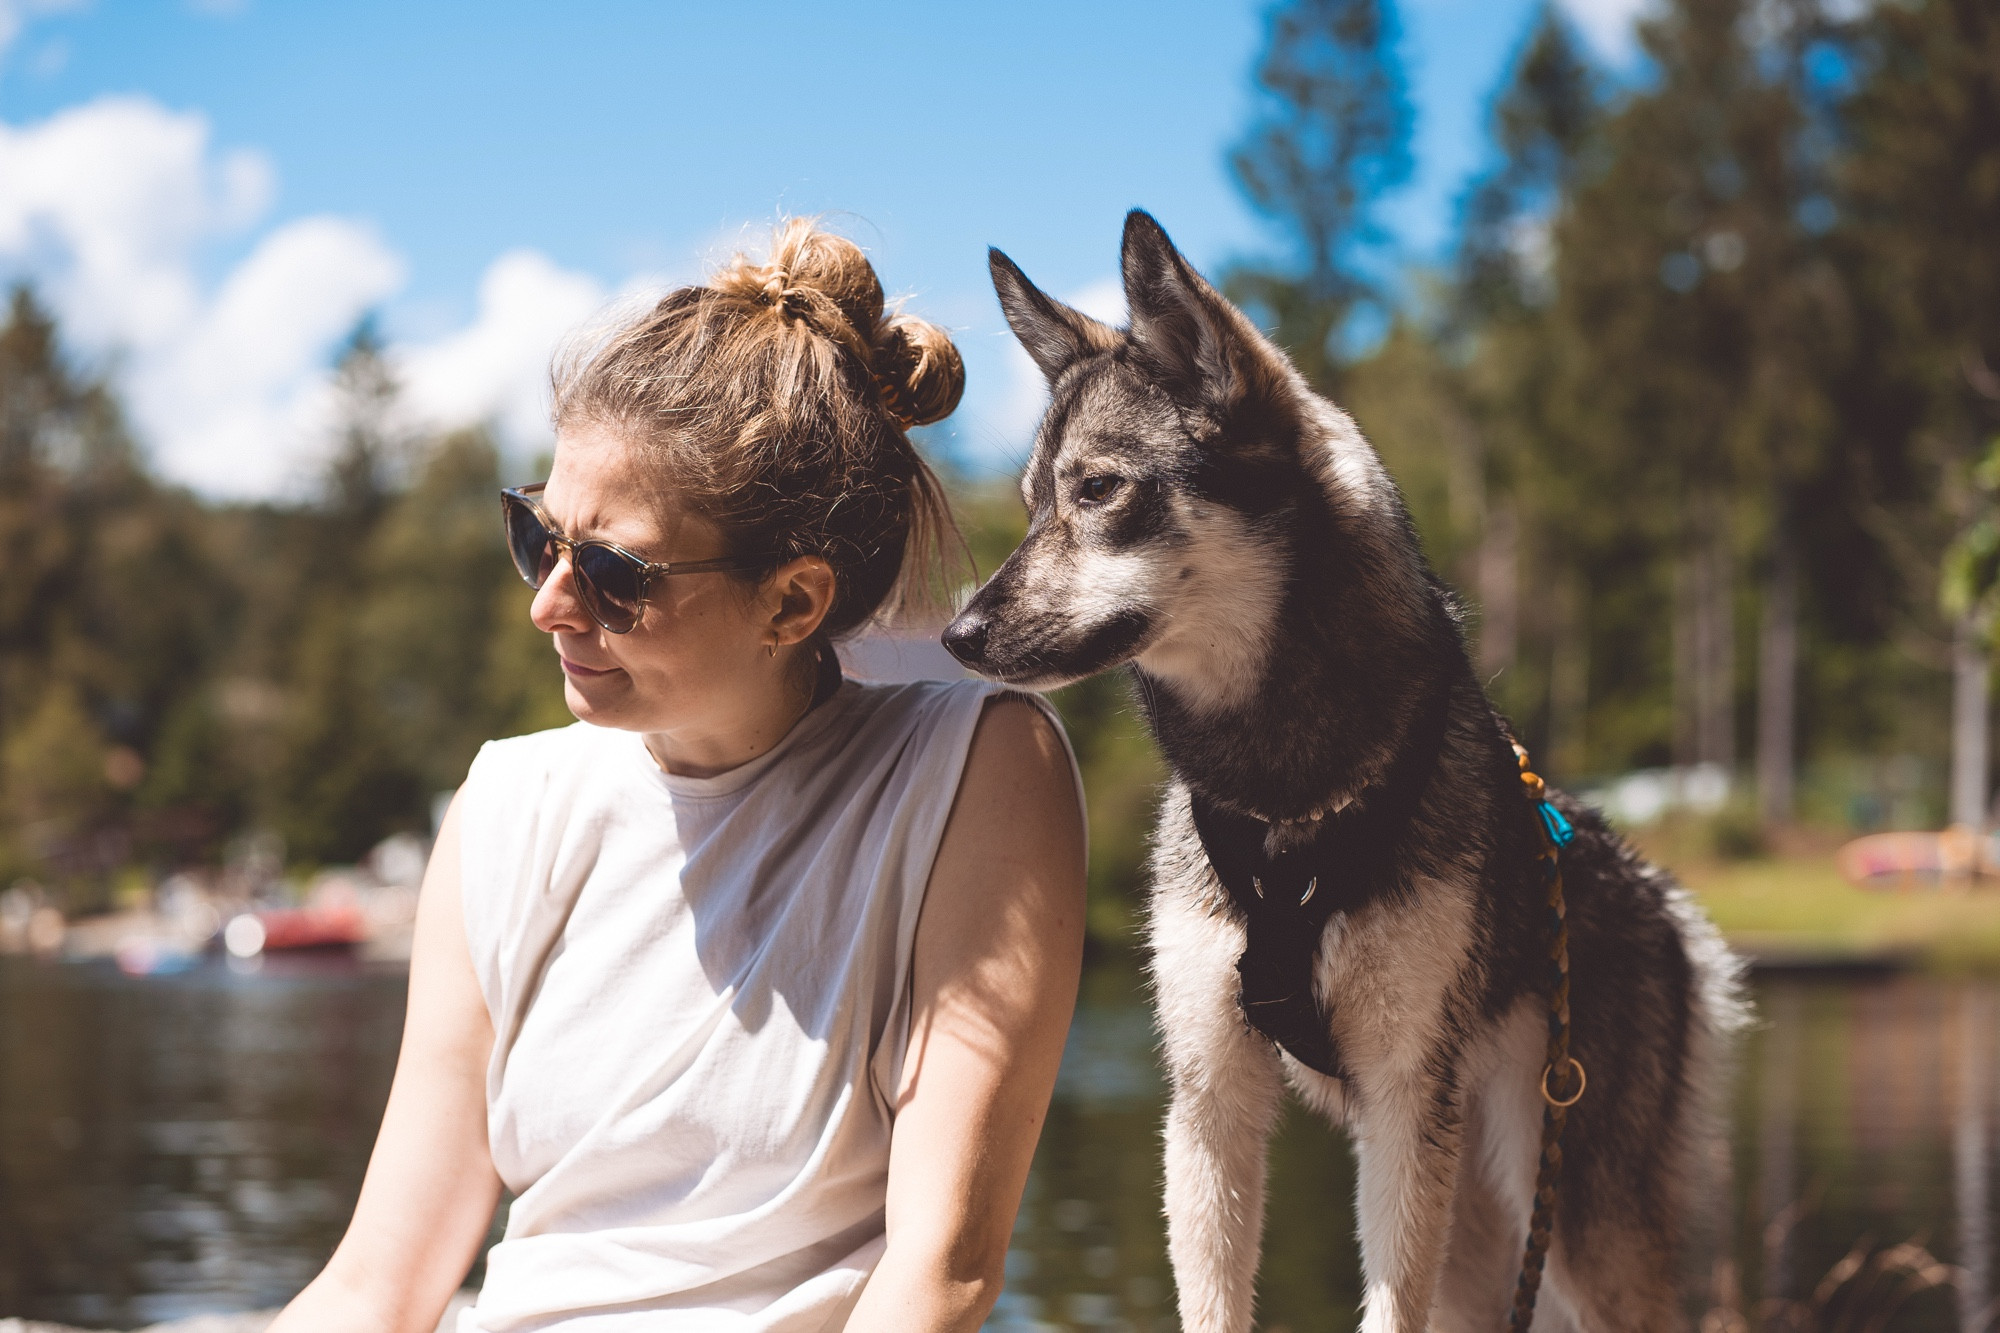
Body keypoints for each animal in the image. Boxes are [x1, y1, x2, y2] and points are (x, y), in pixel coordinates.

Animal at [944, 213, 1744, 1320]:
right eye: (1027, 507)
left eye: (1099, 490)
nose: (957, 633)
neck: (1288, 796)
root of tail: (1661, 900)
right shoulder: (1210, 1098)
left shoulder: (1406, 1101)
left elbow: (1383, 1306)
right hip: (1481, 1230)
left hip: (1578, 1219)